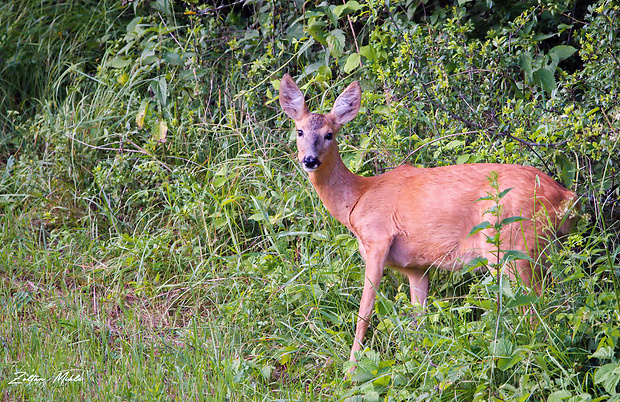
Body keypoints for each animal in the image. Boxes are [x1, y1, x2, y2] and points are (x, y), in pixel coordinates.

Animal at [278, 74, 580, 366]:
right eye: (299, 131)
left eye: (329, 134)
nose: (309, 160)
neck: (357, 200)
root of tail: (566, 196)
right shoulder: (416, 266)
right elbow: (418, 319)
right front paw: (416, 358)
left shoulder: (378, 239)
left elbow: (364, 312)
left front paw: (352, 368)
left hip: (512, 245)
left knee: (535, 305)